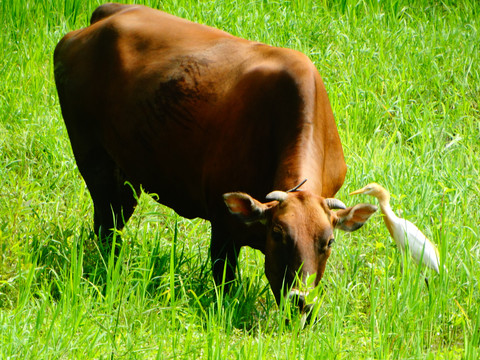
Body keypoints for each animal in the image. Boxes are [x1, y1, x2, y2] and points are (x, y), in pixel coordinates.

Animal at [54, 3, 376, 312]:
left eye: (329, 241)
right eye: (278, 233)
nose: (301, 300)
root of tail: (106, 15)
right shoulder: (223, 225)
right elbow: (226, 283)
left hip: (128, 172)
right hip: (91, 157)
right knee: (105, 222)